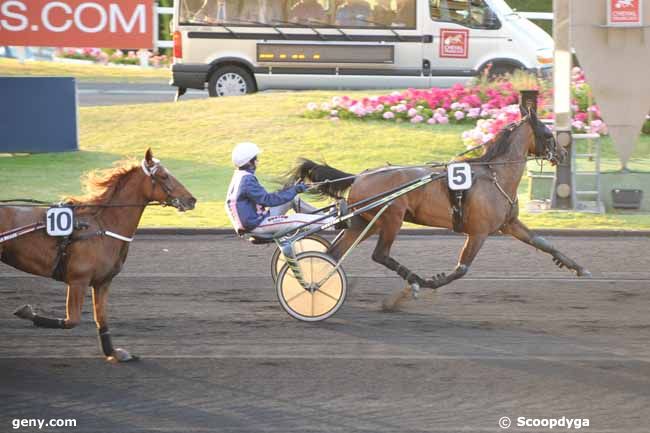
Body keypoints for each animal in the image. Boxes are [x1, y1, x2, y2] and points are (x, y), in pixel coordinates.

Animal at [0, 148, 195, 362]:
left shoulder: (103, 282)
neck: (101, 226)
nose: (191, 200)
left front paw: (113, 352)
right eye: (163, 175)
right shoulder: (78, 280)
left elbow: (101, 318)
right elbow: (72, 320)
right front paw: (28, 313)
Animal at [286, 106, 588, 296]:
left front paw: (577, 267)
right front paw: (434, 280)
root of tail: (360, 176)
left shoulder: (509, 224)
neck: (494, 175)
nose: (563, 153)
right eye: (548, 134)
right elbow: (461, 269)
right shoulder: (478, 232)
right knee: (380, 254)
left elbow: (544, 243)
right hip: (391, 218)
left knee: (333, 254)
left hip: (364, 221)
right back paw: (416, 280)